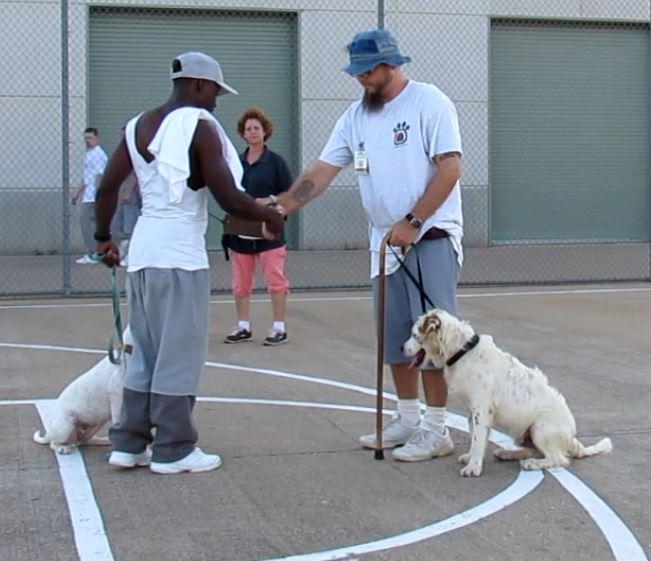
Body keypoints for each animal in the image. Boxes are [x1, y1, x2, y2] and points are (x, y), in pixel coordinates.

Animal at [404, 310, 612, 476]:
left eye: (414, 335)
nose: (401, 348)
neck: (463, 352)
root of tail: (572, 438)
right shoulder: (473, 413)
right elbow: (475, 439)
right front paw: (471, 458)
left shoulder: (481, 411)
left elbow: (478, 440)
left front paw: (474, 467)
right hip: (526, 435)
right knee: (537, 451)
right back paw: (508, 453)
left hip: (540, 428)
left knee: (558, 458)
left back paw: (533, 464)